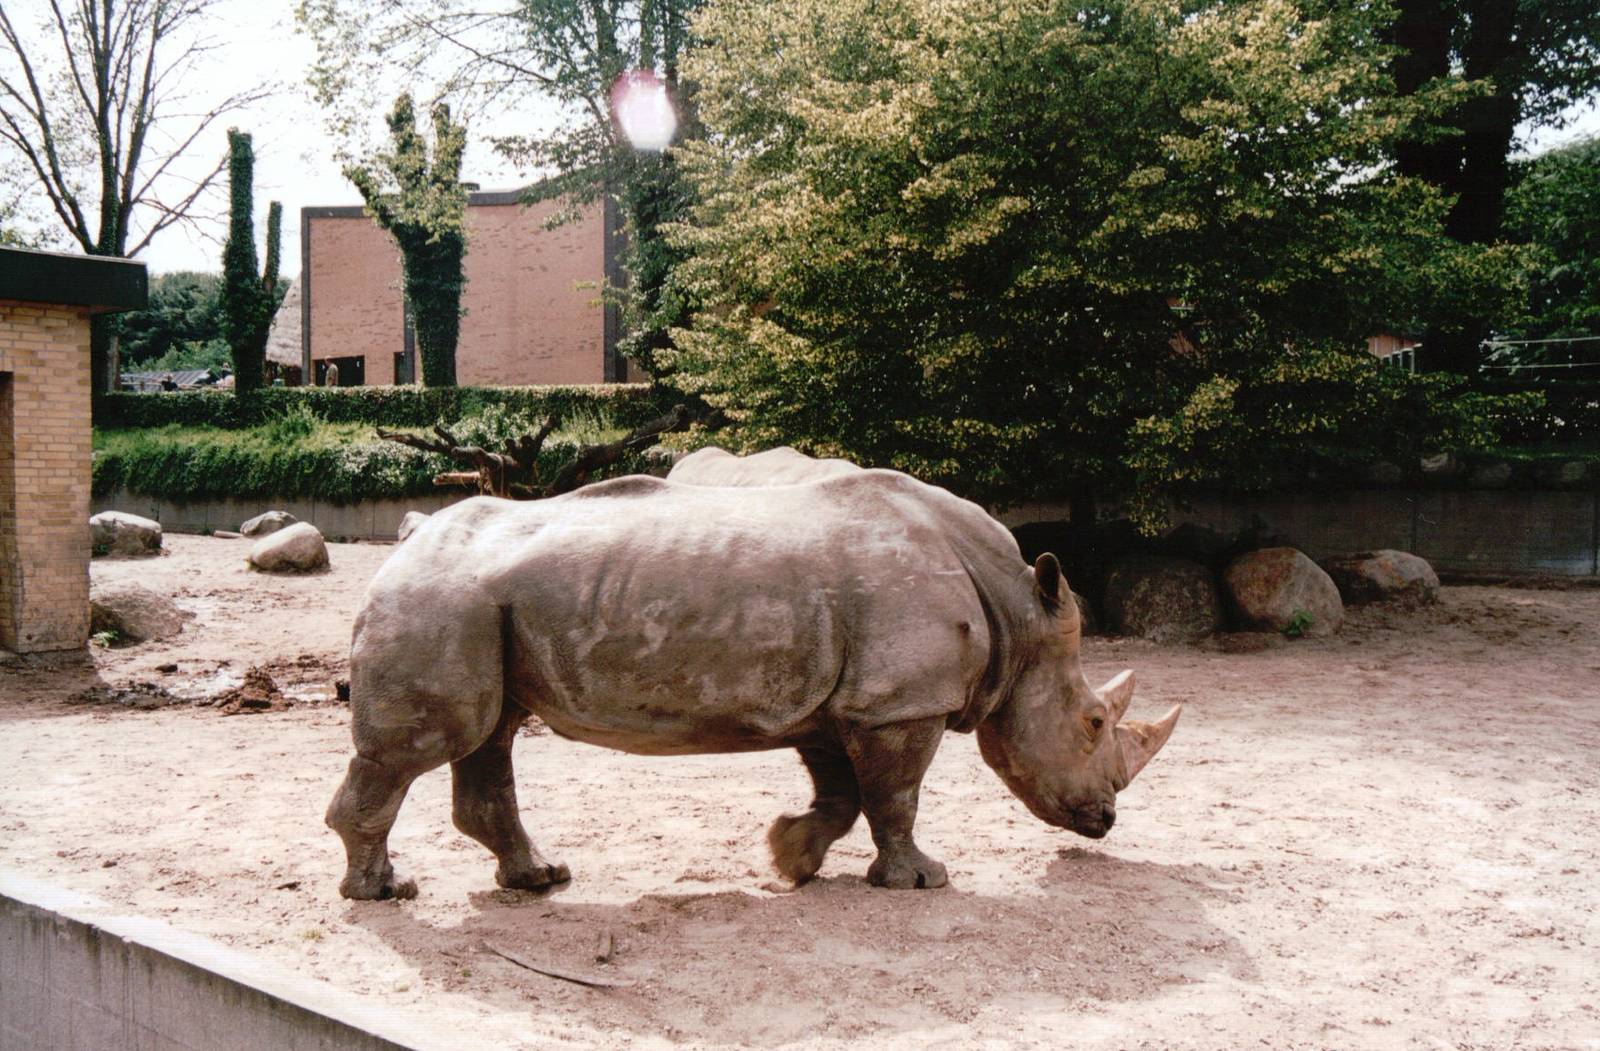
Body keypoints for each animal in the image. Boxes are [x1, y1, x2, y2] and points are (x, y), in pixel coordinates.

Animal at [328, 454, 1180, 900]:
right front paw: (921, 880)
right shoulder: (898, 705)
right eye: (1093, 723)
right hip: (440, 599)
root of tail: (405, 540)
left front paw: (789, 857)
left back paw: (538, 878)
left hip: (475, 605)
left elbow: (844, 796)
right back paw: (385, 891)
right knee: (428, 746)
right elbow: (896, 797)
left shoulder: (844, 703)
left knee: (490, 736)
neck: (1016, 610)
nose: (1106, 820)